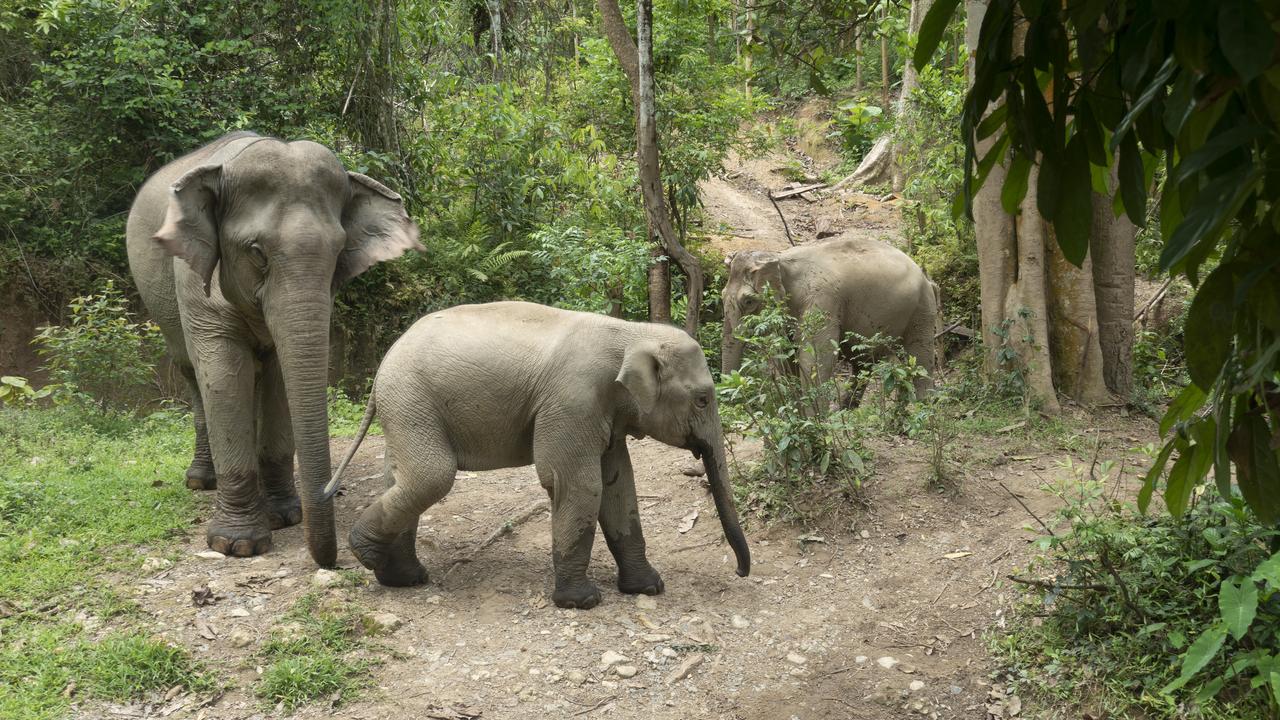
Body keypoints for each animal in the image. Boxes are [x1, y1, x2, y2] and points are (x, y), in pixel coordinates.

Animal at [126, 131, 423, 565]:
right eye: (256, 252)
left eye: (339, 252)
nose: (332, 559)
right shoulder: (196, 288)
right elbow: (222, 375)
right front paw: (237, 545)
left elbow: (281, 377)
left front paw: (285, 517)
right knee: (191, 373)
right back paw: (201, 481)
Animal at [323, 301, 751, 609]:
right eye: (703, 399)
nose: (741, 573)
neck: (631, 331)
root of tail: (382, 367)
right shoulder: (573, 402)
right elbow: (576, 484)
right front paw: (583, 602)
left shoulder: (605, 412)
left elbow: (618, 485)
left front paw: (649, 588)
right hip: (411, 400)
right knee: (431, 475)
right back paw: (365, 553)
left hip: (405, 406)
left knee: (401, 477)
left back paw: (402, 578)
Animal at [720, 236, 938, 398]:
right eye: (721, 295)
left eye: (749, 302)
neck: (780, 258)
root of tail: (926, 278)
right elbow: (788, 359)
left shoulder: (822, 301)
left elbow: (815, 360)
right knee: (869, 365)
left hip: (922, 310)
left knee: (920, 360)